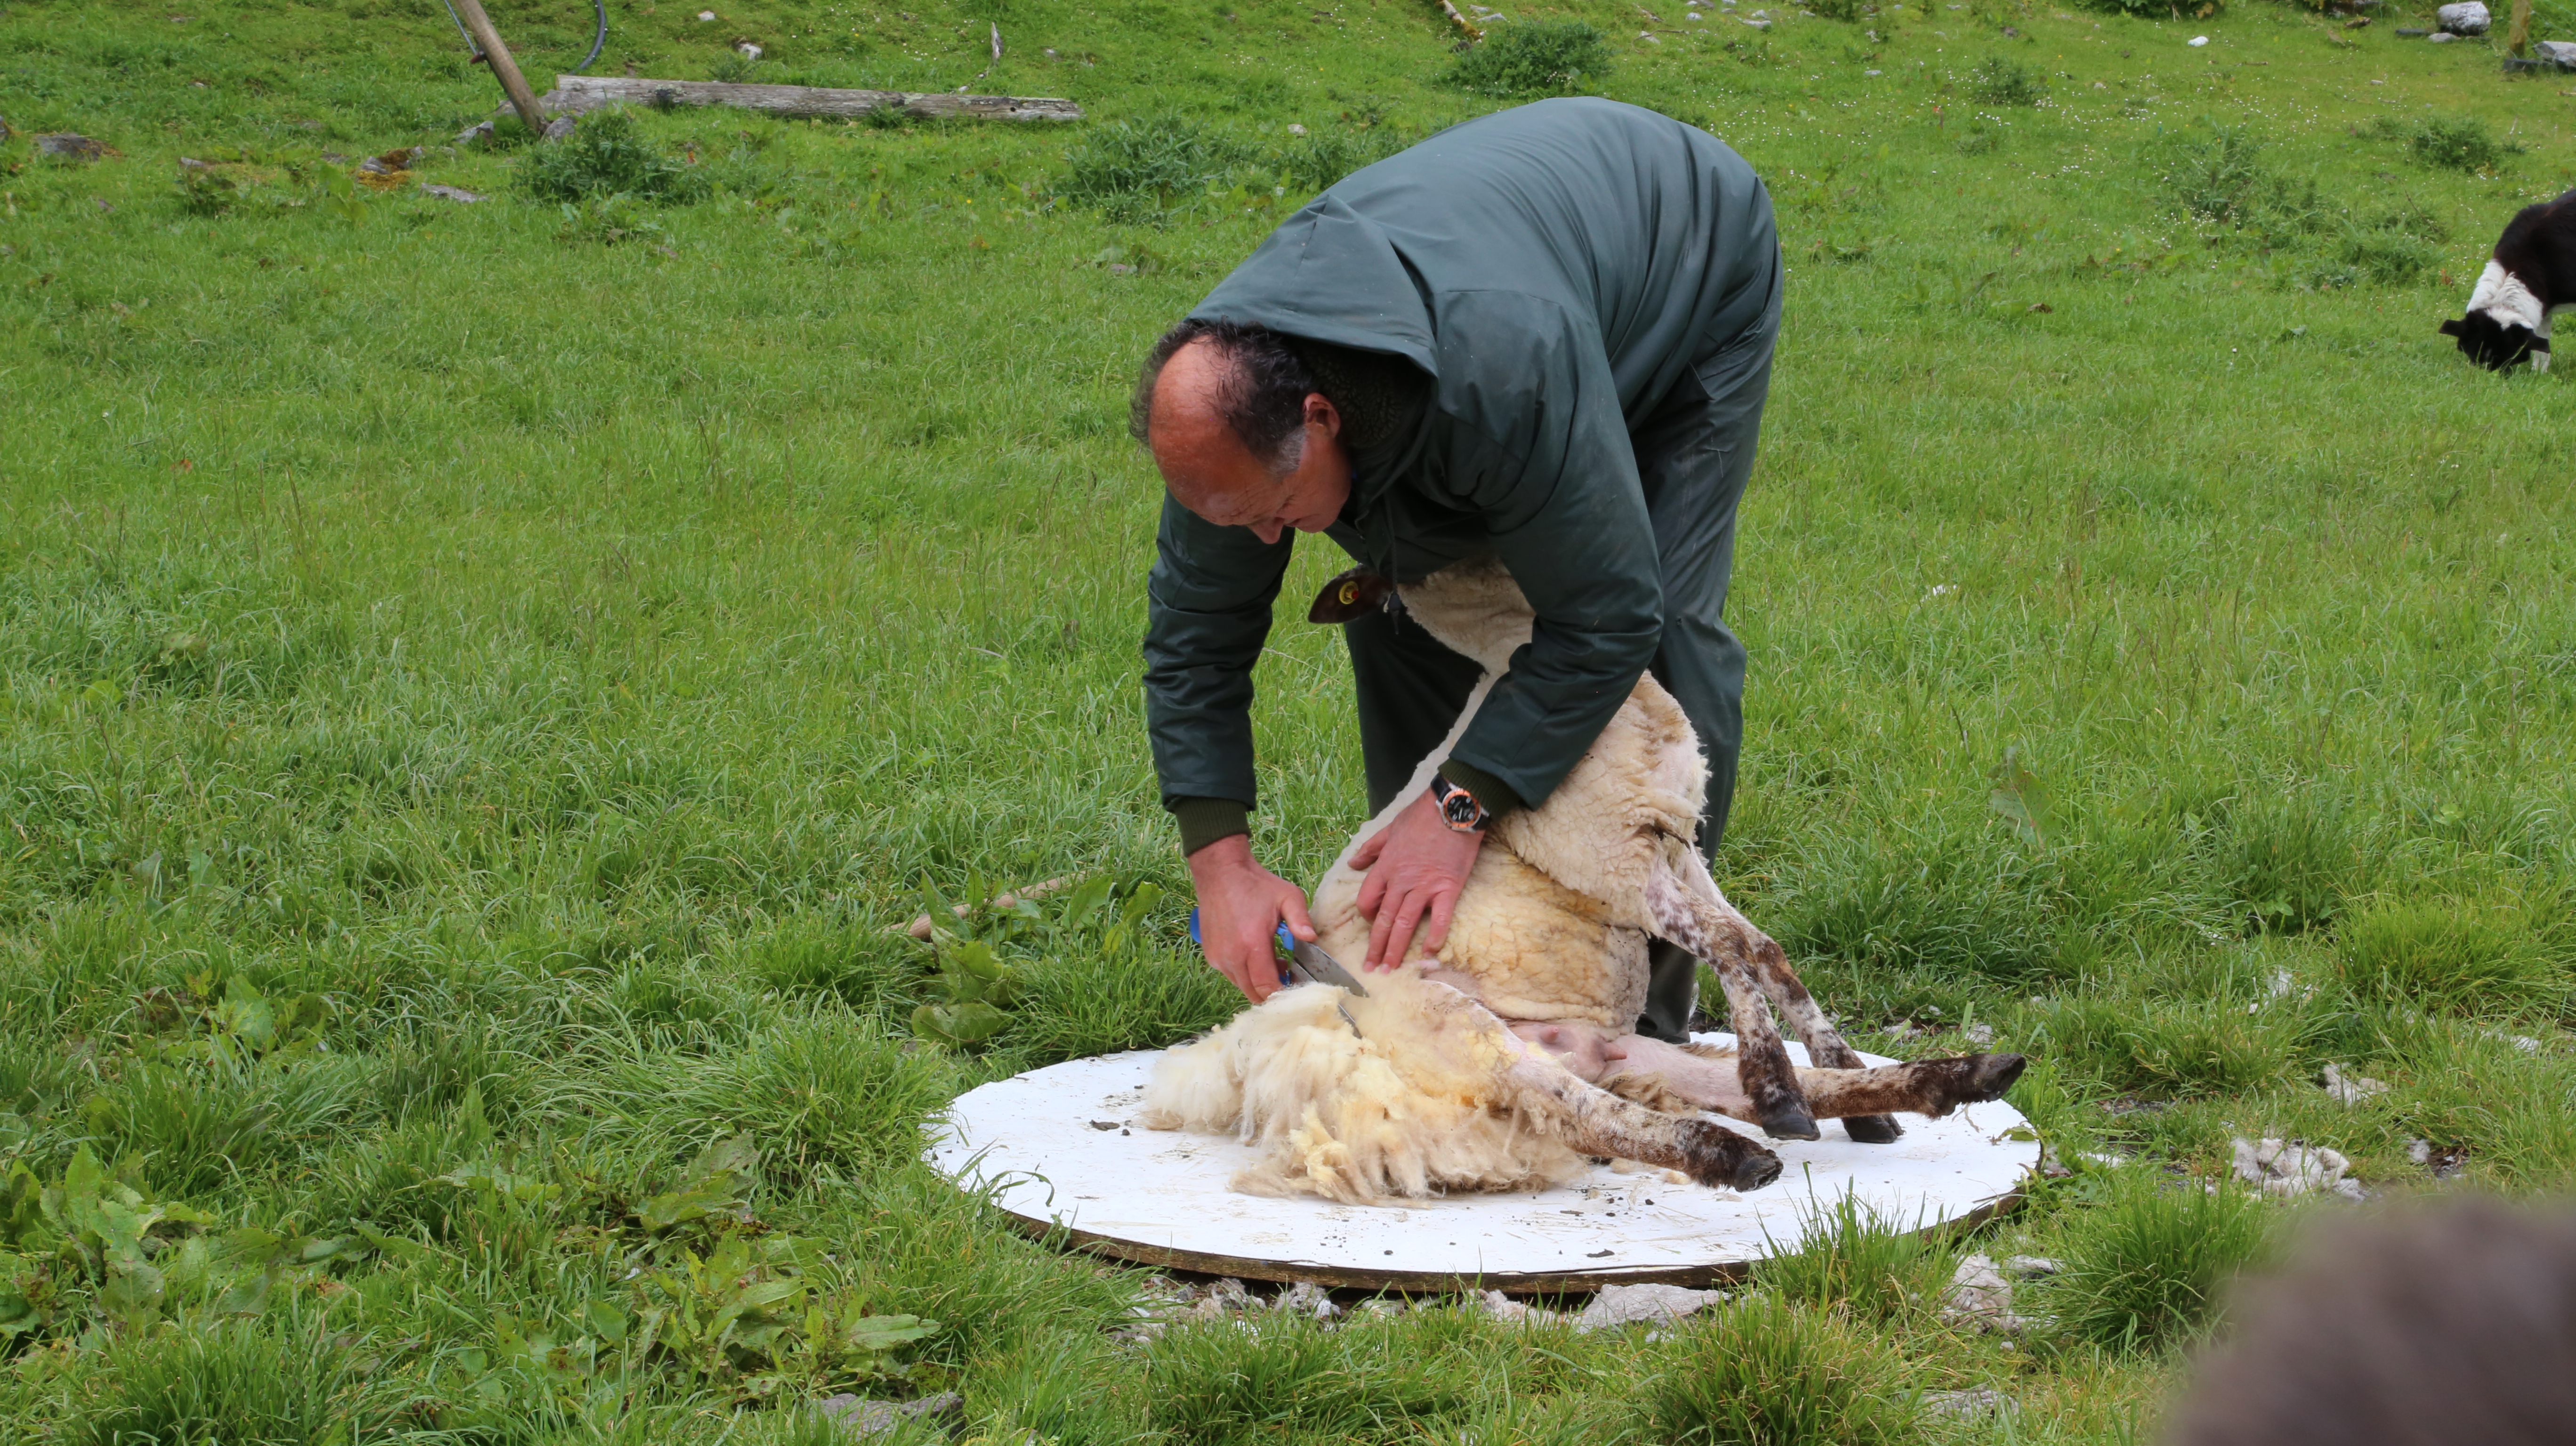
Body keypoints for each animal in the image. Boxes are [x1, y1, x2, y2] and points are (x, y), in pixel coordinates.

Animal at [1149, 559, 2029, 1201]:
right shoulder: (1616, 864)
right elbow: (1729, 946)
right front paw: (1777, 1079)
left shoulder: (1678, 845)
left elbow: (1764, 948)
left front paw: (1832, 1057)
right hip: (1452, 1023)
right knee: (1567, 1110)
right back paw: (1739, 1147)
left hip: (1619, 1045)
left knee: (1692, 1085)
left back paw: (1945, 1080)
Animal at [2431, 189, 2576, 369]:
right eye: (2472, 355)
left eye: (2507, 356)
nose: (2485, 372)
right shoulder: (2544, 305)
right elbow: (2542, 348)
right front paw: (2539, 372)